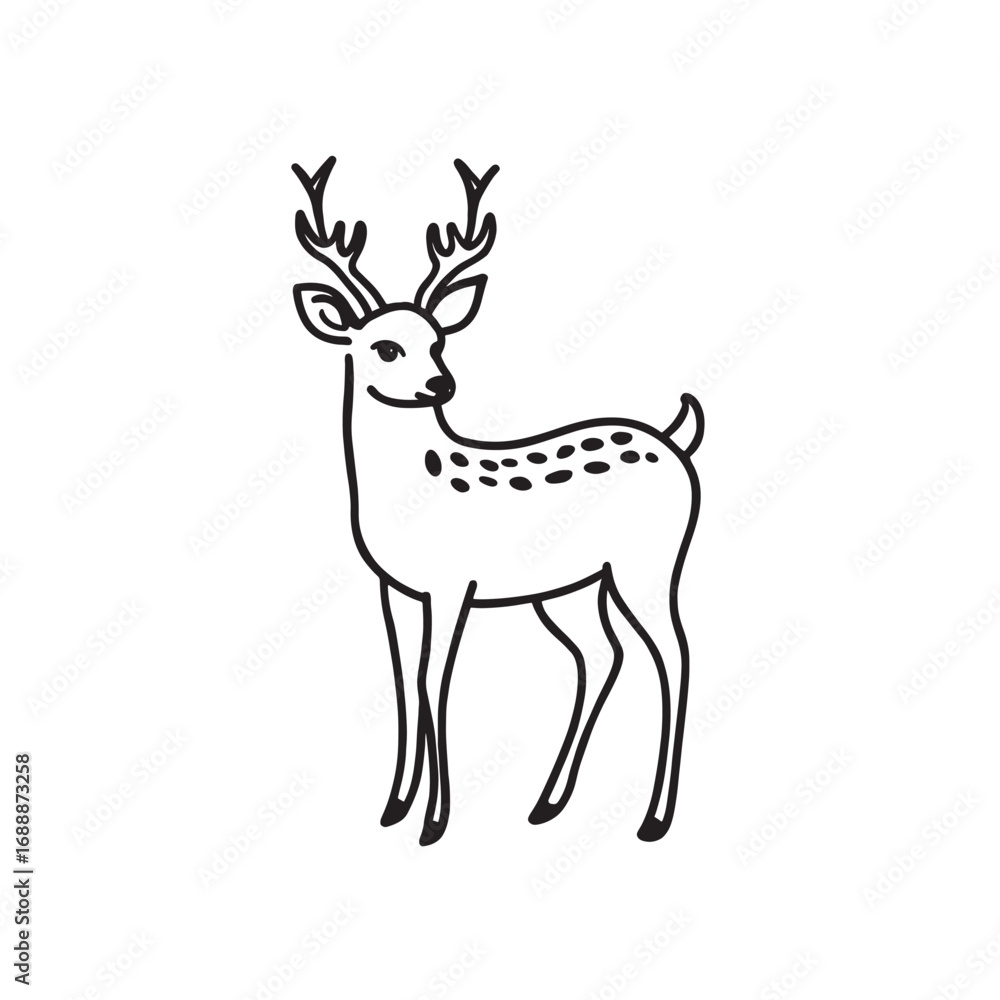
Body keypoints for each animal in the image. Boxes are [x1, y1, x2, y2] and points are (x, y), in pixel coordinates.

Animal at [290, 155, 703, 845]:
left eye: (438, 340)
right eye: (384, 346)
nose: (440, 383)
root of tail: (675, 441)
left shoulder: (454, 584)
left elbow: (435, 682)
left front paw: (434, 820)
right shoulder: (394, 587)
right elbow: (403, 682)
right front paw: (395, 806)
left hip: (651, 560)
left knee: (674, 652)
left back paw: (654, 817)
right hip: (570, 588)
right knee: (603, 655)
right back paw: (548, 802)